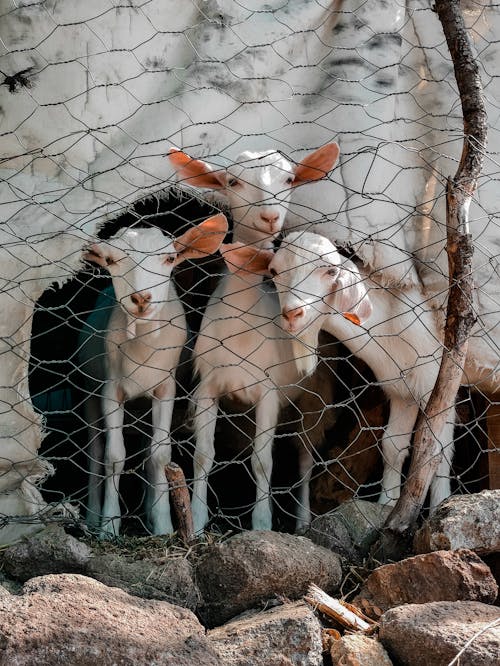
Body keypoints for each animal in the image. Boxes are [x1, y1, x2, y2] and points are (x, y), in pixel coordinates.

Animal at [78, 215, 229, 536]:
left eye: (169, 258)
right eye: (111, 260)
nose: (141, 298)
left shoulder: (165, 388)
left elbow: (160, 454)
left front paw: (162, 524)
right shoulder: (110, 388)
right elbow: (114, 455)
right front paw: (109, 526)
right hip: (87, 390)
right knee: (95, 451)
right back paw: (92, 517)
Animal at [170, 144, 342, 528]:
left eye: (289, 179)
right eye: (232, 181)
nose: (270, 217)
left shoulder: (269, 392)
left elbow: (263, 462)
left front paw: (262, 524)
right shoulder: (209, 384)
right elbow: (204, 454)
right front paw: (199, 520)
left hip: (315, 398)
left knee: (305, 457)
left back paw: (303, 521)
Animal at [224, 232, 458, 508]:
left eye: (331, 271)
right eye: (274, 270)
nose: (292, 314)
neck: (393, 317)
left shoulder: (438, 380)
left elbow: (437, 452)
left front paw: (440, 507)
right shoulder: (403, 387)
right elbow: (393, 446)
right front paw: (386, 505)